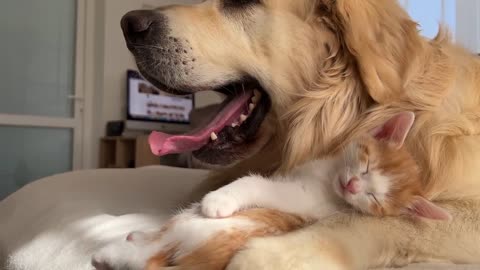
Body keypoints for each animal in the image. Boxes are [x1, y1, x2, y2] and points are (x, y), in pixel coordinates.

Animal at [201, 110, 452, 220]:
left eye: (374, 199)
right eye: (367, 165)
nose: (352, 186)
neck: (328, 175)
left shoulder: (302, 199)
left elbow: (257, 184)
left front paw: (220, 198)